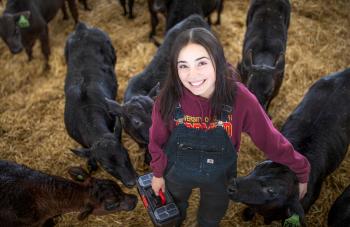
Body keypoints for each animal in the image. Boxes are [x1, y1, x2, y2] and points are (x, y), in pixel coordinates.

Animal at [64, 21, 137, 188]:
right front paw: (91, 165)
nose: (131, 182)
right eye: (107, 167)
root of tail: (81, 29)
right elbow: (89, 155)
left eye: (126, 155)